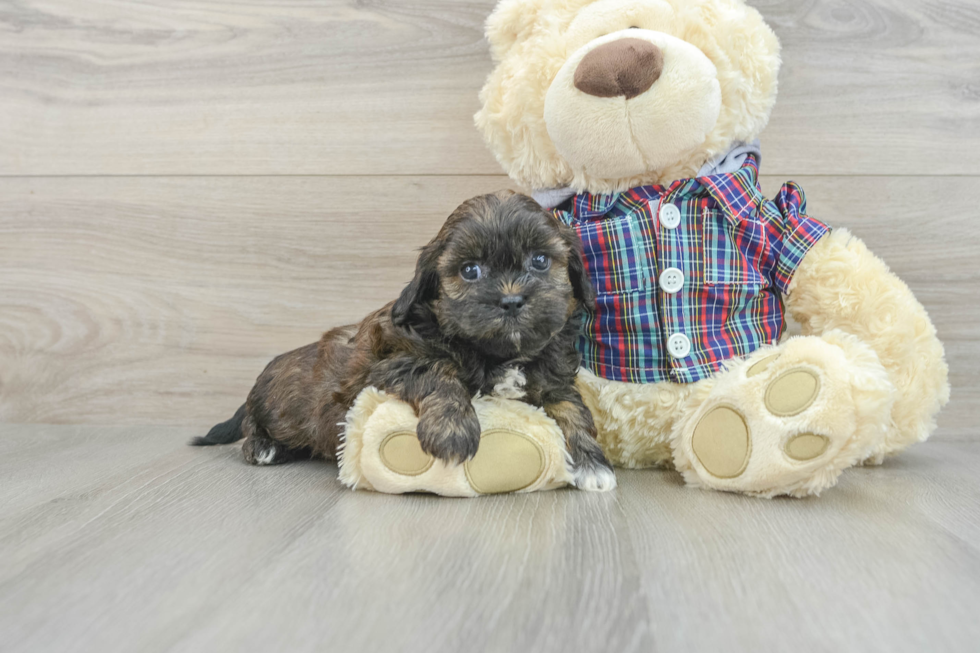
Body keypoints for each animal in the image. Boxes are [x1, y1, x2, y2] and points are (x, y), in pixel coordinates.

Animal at [193, 191, 612, 492]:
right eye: (470, 270)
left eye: (540, 261)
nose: (510, 301)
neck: (498, 353)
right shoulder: (392, 363)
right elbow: (440, 371)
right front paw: (452, 430)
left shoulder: (553, 378)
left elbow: (573, 409)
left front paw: (593, 463)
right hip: (274, 409)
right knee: (252, 425)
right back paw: (264, 447)